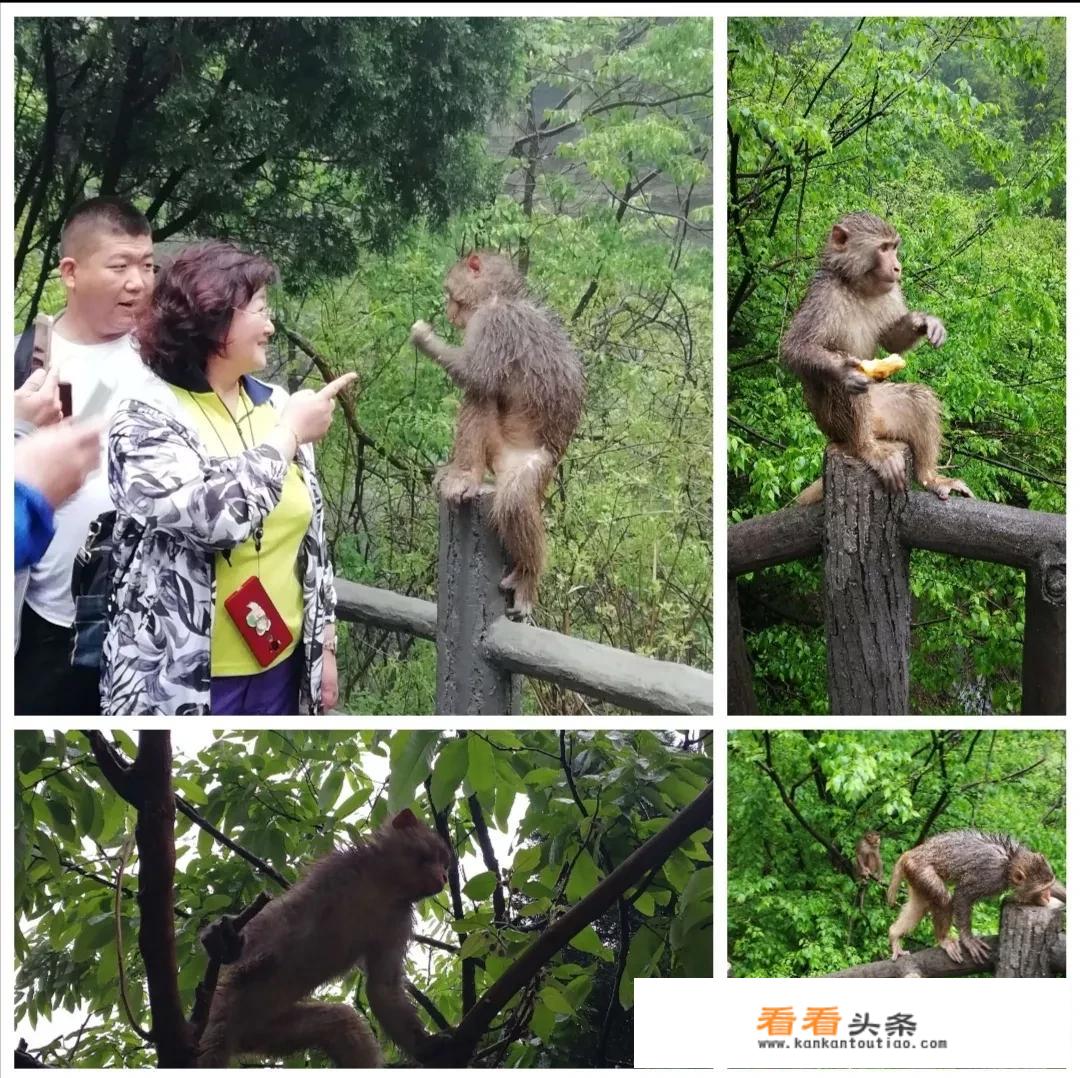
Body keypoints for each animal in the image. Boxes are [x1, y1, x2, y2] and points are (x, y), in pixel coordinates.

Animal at [197, 812, 451, 1071]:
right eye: (437, 856)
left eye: (445, 863)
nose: (445, 876)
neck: (383, 886)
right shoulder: (337, 870)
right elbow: (286, 916)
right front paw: (223, 938)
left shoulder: (398, 920)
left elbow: (383, 986)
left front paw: (424, 1046)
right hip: (225, 1007)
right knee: (213, 1045)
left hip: (268, 1031)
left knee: (343, 1024)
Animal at [410, 248, 587, 617]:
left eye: (450, 293)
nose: (449, 311)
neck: (500, 296)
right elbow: (478, 384)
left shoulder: (495, 323)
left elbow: (473, 373)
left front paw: (423, 337)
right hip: (497, 450)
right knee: (482, 398)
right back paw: (465, 472)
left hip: (536, 467)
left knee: (515, 500)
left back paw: (528, 575)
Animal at [781, 214, 976, 509]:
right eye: (883, 249)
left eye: (893, 247)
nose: (897, 267)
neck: (855, 286)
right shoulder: (823, 295)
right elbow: (794, 348)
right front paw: (844, 370)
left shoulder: (891, 291)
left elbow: (892, 341)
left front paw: (925, 322)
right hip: (833, 426)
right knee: (849, 389)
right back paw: (867, 449)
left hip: (883, 412)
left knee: (917, 399)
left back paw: (929, 477)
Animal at [885, 829, 1062, 967]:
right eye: (1043, 889)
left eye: (1049, 886)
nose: (1047, 896)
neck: (1009, 862)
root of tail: (910, 853)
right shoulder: (990, 876)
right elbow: (963, 894)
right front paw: (968, 939)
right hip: (920, 869)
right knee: (944, 899)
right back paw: (943, 939)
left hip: (914, 874)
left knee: (920, 905)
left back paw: (894, 934)